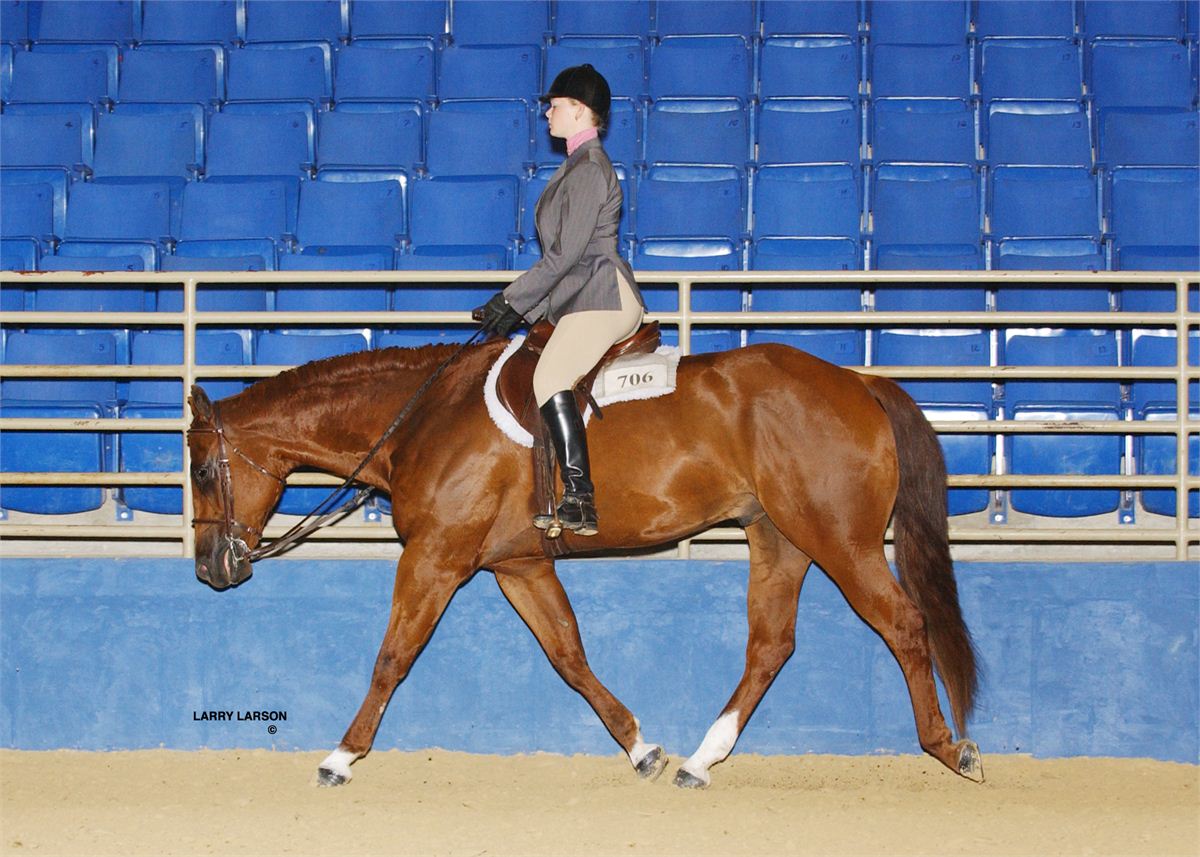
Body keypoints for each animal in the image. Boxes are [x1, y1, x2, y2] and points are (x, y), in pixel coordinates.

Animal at [182, 336, 979, 787]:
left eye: (200, 470)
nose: (210, 569)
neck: (422, 418)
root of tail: (857, 381)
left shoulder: (436, 558)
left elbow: (392, 656)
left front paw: (341, 756)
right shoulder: (518, 566)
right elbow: (568, 653)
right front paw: (641, 748)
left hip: (838, 537)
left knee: (904, 625)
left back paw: (949, 748)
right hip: (779, 538)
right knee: (771, 645)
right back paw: (700, 759)